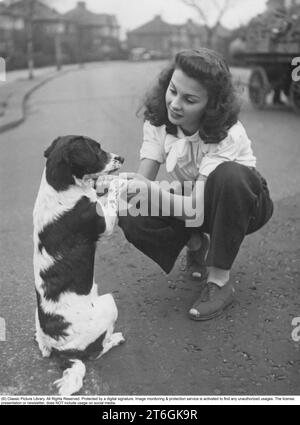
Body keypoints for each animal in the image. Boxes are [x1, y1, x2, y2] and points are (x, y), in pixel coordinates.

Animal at [32, 135, 125, 394]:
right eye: (97, 149)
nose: (122, 158)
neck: (60, 185)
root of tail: (64, 353)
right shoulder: (105, 222)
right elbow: (111, 193)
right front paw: (120, 179)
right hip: (109, 303)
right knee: (97, 351)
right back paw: (114, 339)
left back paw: (41, 343)